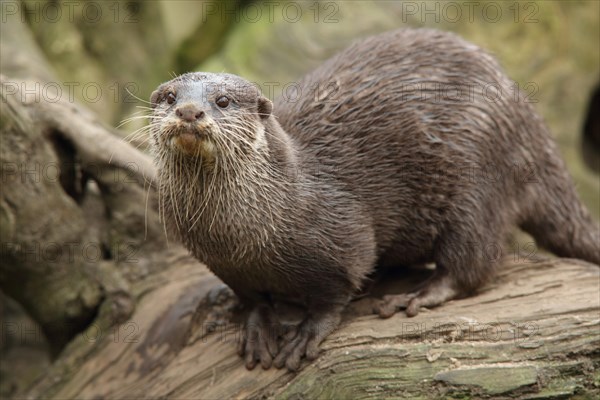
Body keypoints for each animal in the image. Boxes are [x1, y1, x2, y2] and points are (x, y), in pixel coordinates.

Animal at [149, 28, 600, 372]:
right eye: (170, 96)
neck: (241, 236)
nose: (189, 111)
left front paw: (307, 332)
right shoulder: (222, 263)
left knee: (473, 261)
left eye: (223, 101)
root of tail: (527, 120)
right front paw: (259, 326)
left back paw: (414, 296)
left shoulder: (343, 236)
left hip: (478, 177)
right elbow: (251, 296)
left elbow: (337, 288)